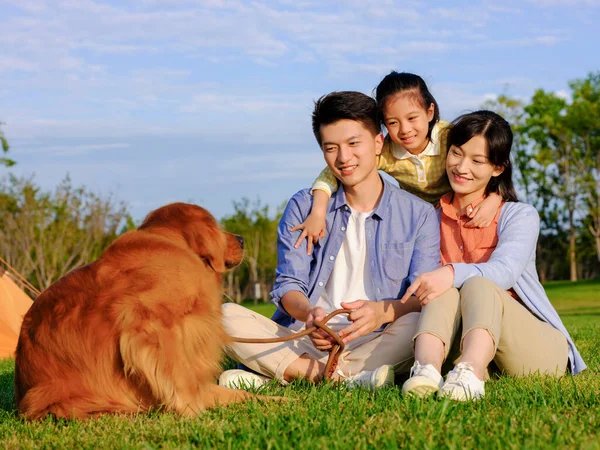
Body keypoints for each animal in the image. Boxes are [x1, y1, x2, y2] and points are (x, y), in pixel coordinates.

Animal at [14, 202, 258, 420]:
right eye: (215, 226)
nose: (242, 239)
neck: (174, 243)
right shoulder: (152, 324)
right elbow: (180, 377)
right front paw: (194, 412)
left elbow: (240, 393)